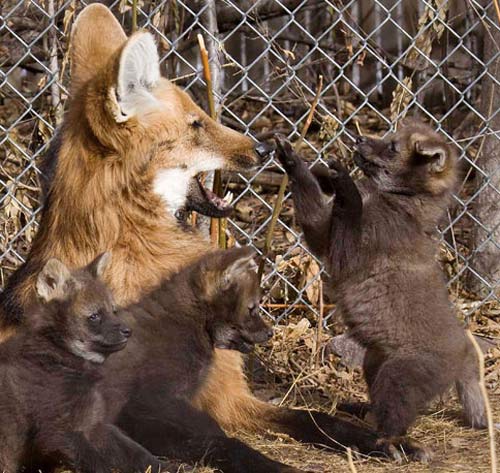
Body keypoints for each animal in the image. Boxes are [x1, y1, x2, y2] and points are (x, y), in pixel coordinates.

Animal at [0, 254, 162, 472]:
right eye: (94, 316)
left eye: (113, 311)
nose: (128, 331)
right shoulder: (58, 431)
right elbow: (99, 464)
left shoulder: (95, 423)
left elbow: (137, 452)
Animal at [274, 122, 488, 460]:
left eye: (392, 148)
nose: (359, 137)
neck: (400, 203)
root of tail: (467, 351)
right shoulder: (323, 235)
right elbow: (310, 196)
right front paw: (300, 161)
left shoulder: (345, 252)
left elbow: (348, 206)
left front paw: (340, 179)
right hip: (374, 362)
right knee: (378, 406)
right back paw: (360, 411)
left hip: (397, 377)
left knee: (394, 421)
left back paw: (394, 446)